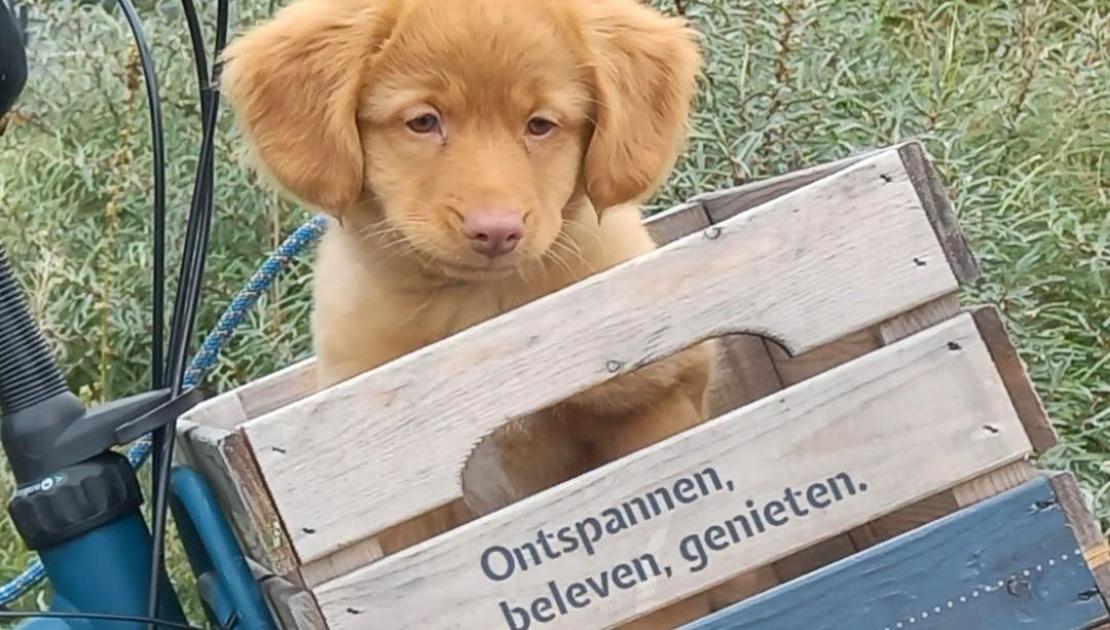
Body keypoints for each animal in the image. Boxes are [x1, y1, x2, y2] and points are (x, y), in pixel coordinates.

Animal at [223, 1, 719, 621]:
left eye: (540, 125)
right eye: (423, 121)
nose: (496, 231)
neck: (482, 321)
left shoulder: (651, 401)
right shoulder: (402, 508)